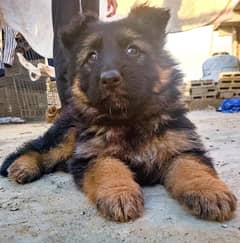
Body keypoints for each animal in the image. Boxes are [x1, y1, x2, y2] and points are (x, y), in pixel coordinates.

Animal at [0, 5, 236, 222]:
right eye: (92, 56)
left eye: (132, 50)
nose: (109, 79)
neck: (128, 119)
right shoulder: (92, 155)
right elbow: (109, 167)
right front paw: (119, 194)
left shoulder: (183, 148)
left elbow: (191, 167)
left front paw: (209, 190)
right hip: (67, 135)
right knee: (38, 149)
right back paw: (21, 167)